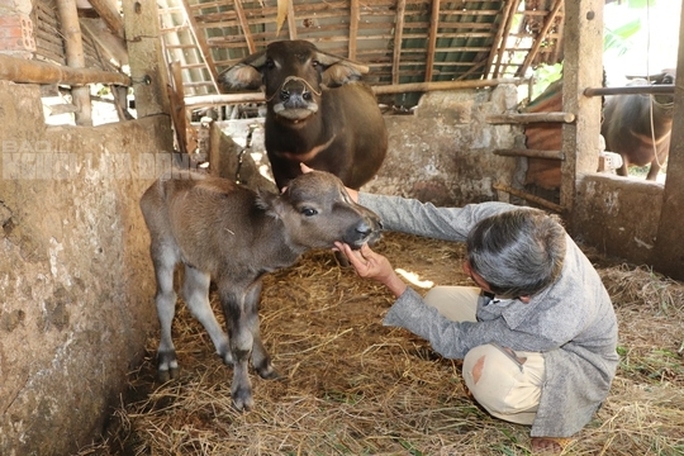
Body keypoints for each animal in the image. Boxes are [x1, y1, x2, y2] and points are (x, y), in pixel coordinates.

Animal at [141, 169, 382, 412]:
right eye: (309, 210)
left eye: (344, 194)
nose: (370, 226)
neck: (257, 234)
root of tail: (159, 182)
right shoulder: (230, 286)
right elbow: (241, 341)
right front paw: (242, 393)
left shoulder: (254, 283)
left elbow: (253, 323)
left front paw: (264, 365)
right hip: (162, 244)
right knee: (165, 299)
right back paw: (167, 358)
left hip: (198, 257)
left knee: (195, 296)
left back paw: (223, 348)